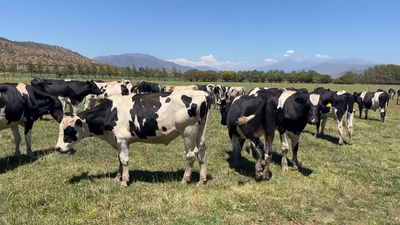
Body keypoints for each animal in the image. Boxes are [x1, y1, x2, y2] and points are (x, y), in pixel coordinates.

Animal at [55, 90, 216, 187]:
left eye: (69, 130)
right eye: (60, 129)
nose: (57, 148)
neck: (110, 111)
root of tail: (204, 94)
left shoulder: (121, 139)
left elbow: (124, 160)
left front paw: (124, 181)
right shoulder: (119, 141)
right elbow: (120, 159)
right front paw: (117, 178)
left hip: (188, 132)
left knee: (191, 154)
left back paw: (185, 180)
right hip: (199, 133)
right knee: (202, 152)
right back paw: (202, 180)